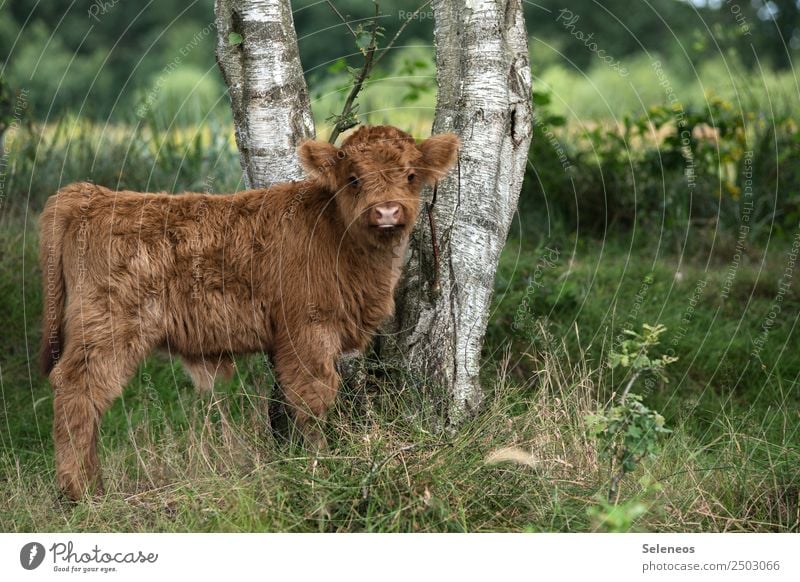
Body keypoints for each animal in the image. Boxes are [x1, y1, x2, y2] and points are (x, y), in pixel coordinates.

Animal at [39, 125, 462, 500]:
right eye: (353, 178)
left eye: (410, 175)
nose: (387, 211)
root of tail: (92, 197)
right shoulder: (307, 331)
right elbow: (313, 397)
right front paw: (321, 467)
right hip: (107, 329)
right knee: (78, 391)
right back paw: (80, 492)